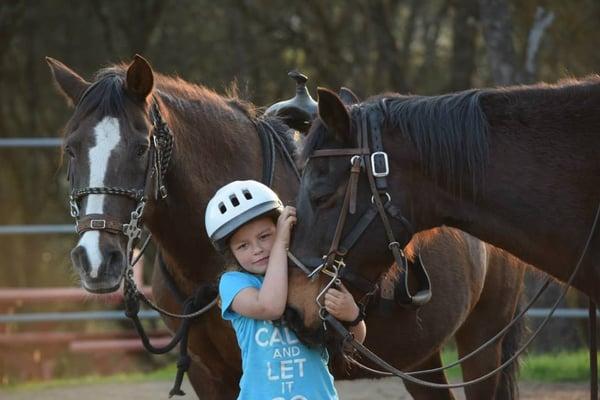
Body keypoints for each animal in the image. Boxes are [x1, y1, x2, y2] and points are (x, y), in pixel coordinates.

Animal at [48, 57, 524, 400]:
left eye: (140, 147)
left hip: (483, 343)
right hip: (420, 358)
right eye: (70, 149)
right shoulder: (208, 374)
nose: (96, 259)